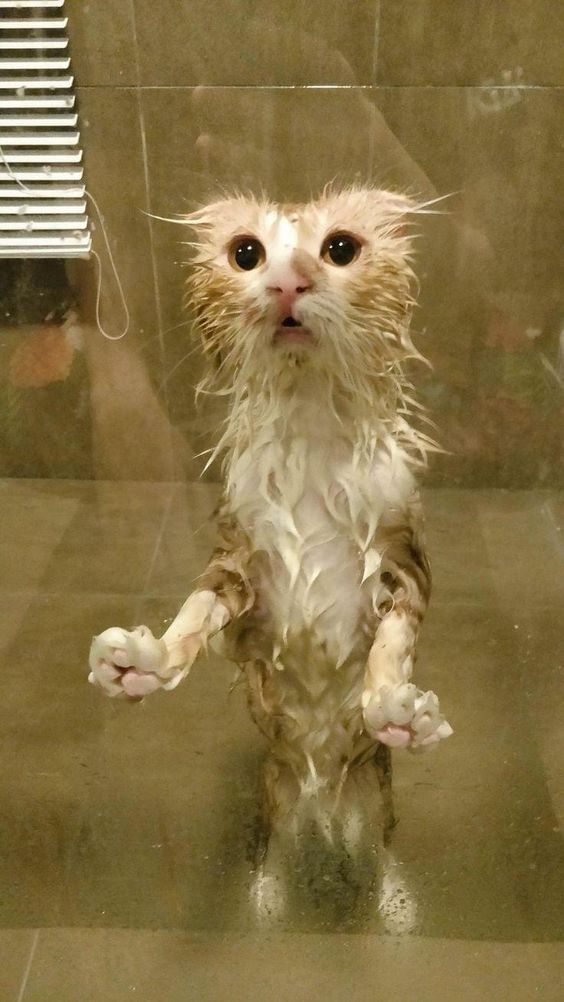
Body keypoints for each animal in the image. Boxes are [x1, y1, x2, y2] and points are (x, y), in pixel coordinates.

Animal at [88, 186, 452, 829]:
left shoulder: (401, 551)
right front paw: (140, 664)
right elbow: (197, 608)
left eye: (340, 248)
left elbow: (393, 642)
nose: (287, 281)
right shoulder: (239, 552)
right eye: (246, 253)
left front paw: (396, 713)